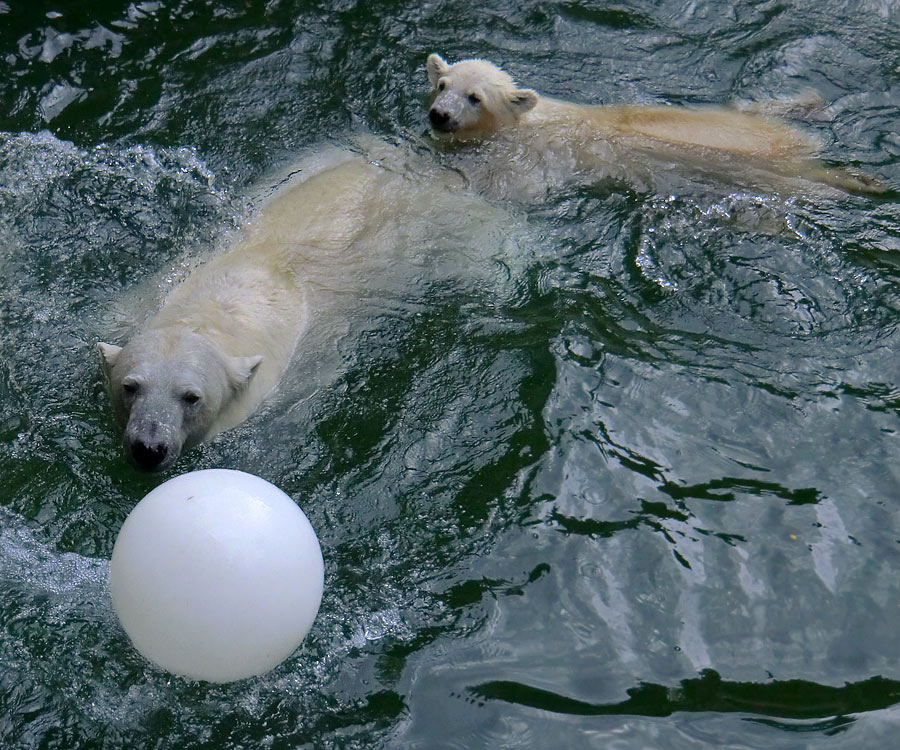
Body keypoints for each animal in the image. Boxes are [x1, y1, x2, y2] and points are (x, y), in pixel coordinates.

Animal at [98, 141, 512, 470]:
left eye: (191, 397)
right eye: (131, 386)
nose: (149, 448)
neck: (215, 315)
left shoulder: (294, 380)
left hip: (451, 225)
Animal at [426, 54, 884, 198]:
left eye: (475, 97)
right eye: (443, 85)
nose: (439, 115)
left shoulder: (538, 154)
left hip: (762, 166)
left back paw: (862, 181)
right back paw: (813, 105)